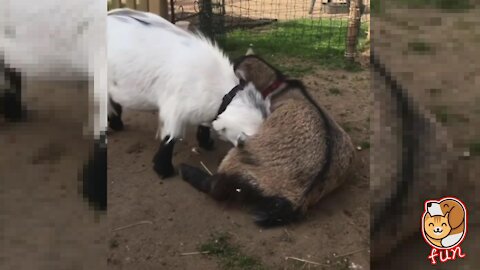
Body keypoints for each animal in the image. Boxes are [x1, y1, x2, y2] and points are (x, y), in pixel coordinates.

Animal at [106, 8, 268, 178]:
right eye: (243, 142)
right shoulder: (173, 108)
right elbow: (170, 137)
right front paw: (163, 169)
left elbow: (203, 125)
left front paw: (206, 143)